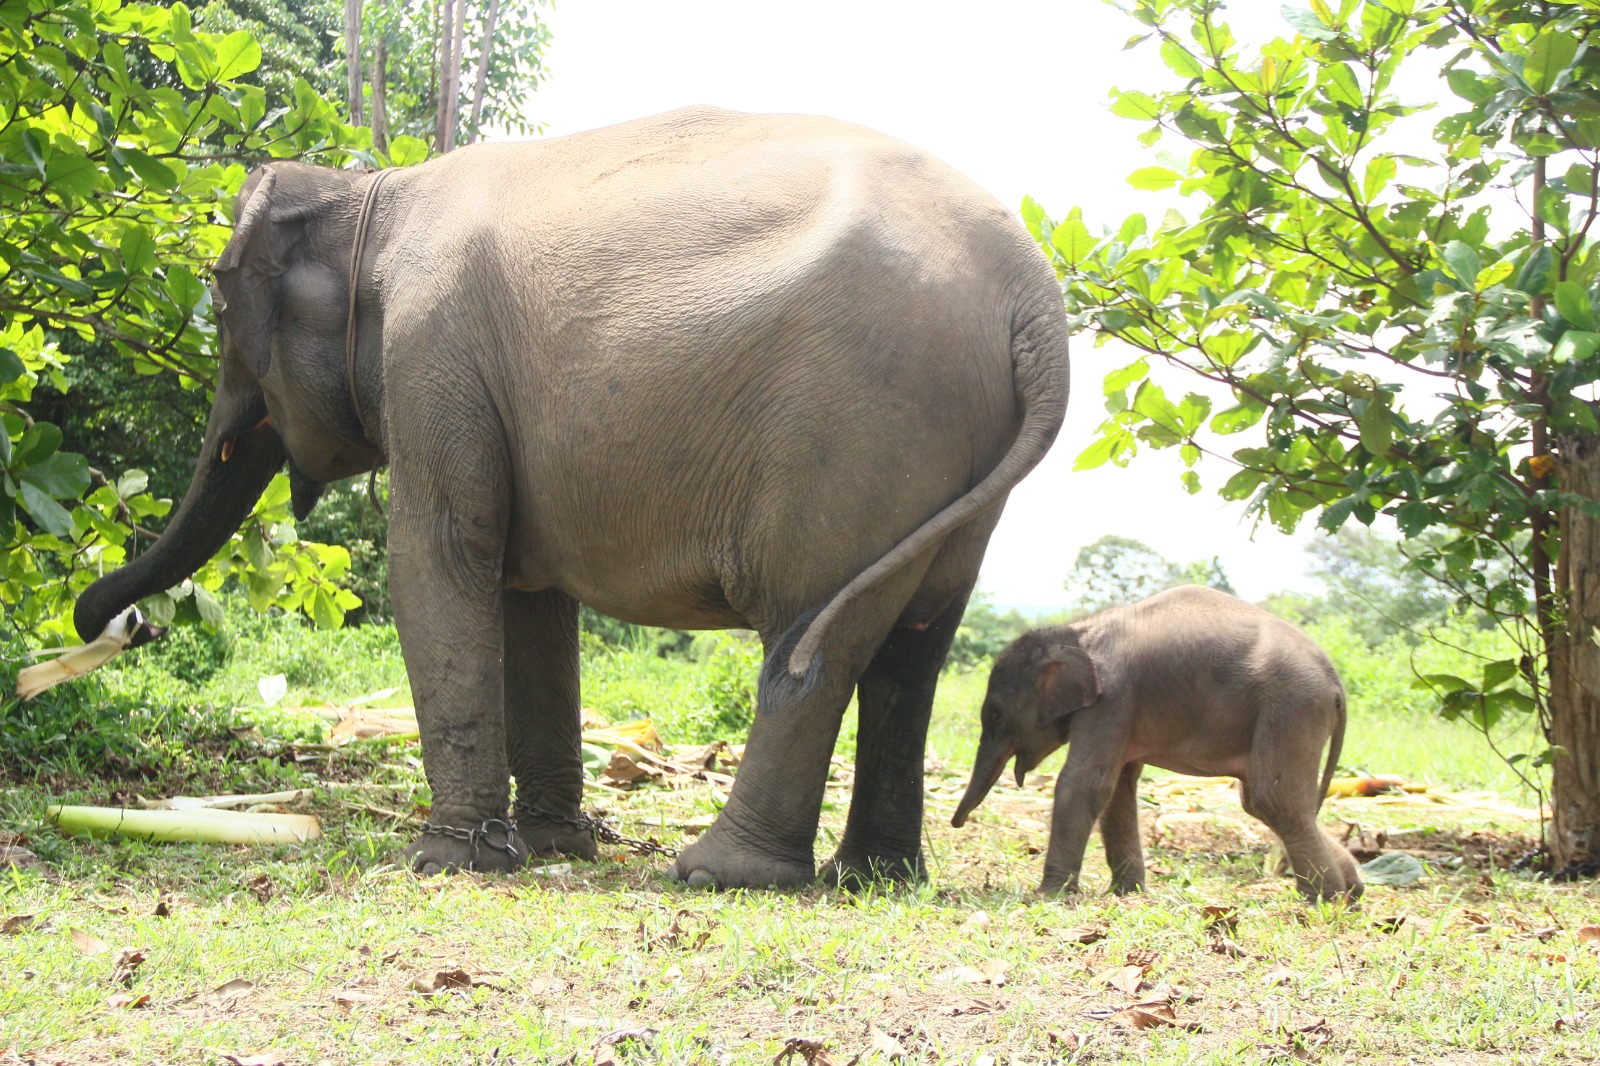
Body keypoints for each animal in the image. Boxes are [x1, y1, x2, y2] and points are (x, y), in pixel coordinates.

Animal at [78, 108, 1075, 889]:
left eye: (214, 305)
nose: (114, 623)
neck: (371, 192)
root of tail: (1036, 297)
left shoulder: (433, 354)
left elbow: (440, 557)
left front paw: (449, 863)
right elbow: (527, 592)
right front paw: (557, 846)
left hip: (858, 434)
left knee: (813, 641)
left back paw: (717, 872)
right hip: (949, 465)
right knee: (913, 651)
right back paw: (872, 876)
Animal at [947, 582, 1363, 896]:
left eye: (995, 714)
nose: (956, 824)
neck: (1076, 631)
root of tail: (1334, 682)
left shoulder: (1113, 699)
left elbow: (1084, 784)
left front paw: (1048, 896)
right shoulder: (1124, 711)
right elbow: (1117, 788)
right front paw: (1126, 894)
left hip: (1291, 707)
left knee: (1271, 799)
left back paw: (1323, 898)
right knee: (1277, 802)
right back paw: (1351, 893)